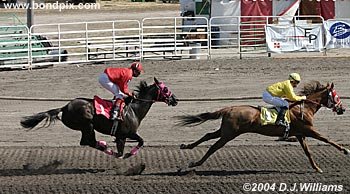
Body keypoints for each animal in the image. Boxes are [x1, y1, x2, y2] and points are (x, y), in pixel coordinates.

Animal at [178, 81, 348, 172]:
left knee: (208, 135)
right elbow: (327, 139)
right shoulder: (309, 130)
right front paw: (345, 150)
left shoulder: (300, 134)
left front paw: (317, 168)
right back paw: (195, 163)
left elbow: (308, 153)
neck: (305, 108)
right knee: (214, 147)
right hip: (229, 134)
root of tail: (229, 108)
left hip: (225, 130)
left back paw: (187, 147)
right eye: (336, 96)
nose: (343, 109)